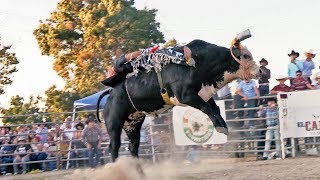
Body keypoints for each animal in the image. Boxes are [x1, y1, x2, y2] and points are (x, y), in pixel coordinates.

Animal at [95, 29, 260, 162]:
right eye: (246, 55)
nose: (259, 71)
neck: (200, 62)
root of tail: (110, 92)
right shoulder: (185, 96)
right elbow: (206, 108)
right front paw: (220, 127)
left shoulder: (204, 93)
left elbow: (214, 109)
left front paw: (223, 126)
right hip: (114, 121)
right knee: (114, 147)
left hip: (133, 124)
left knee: (133, 147)